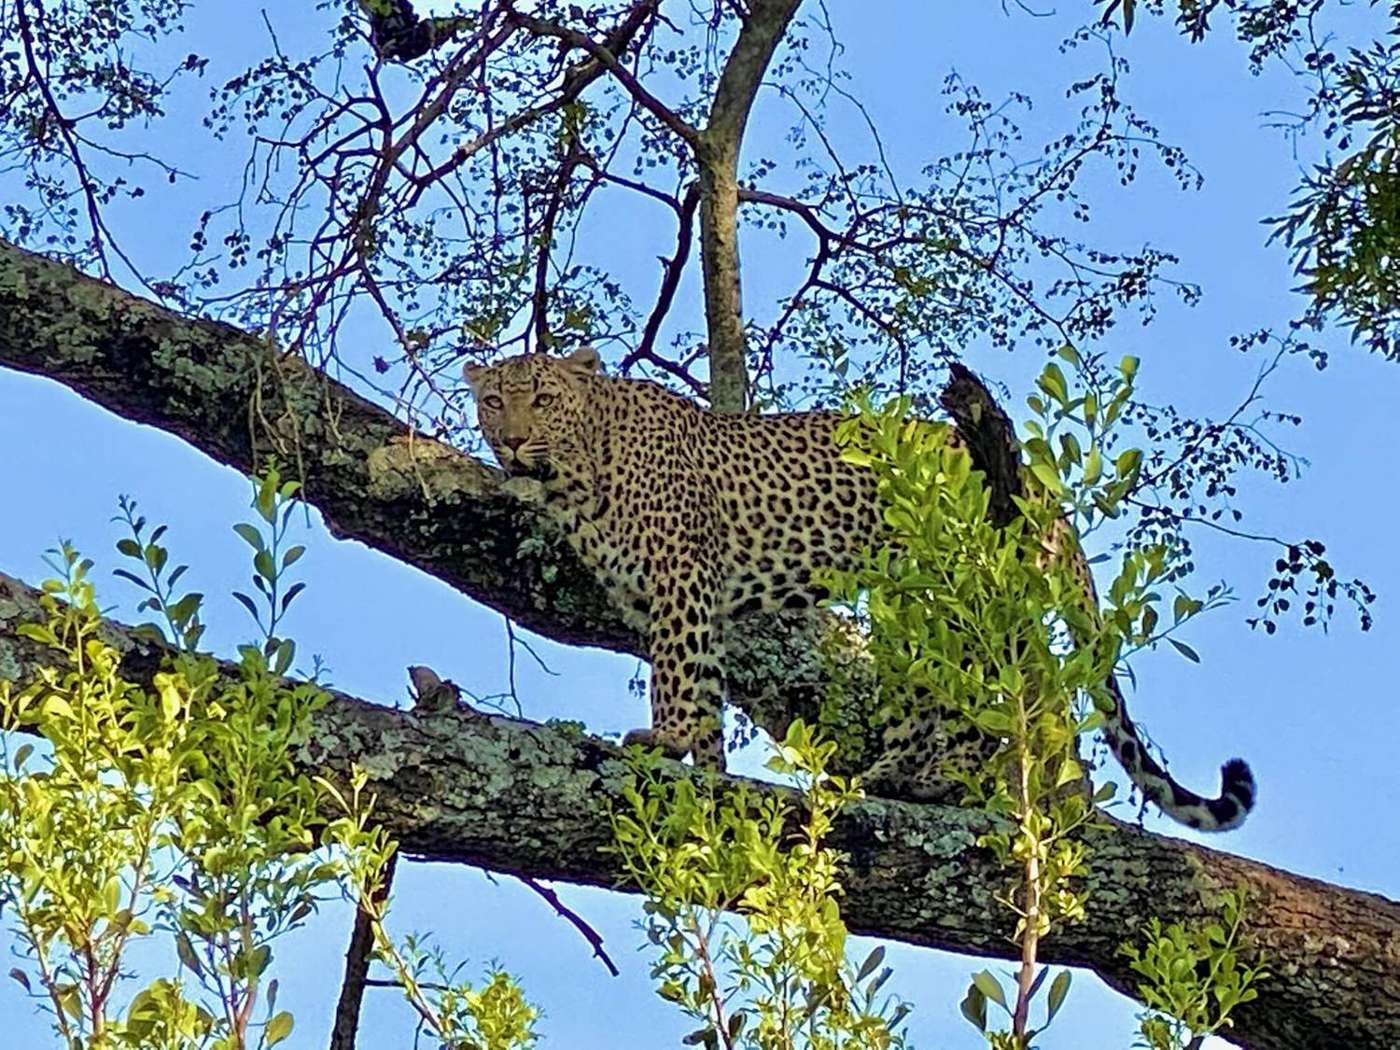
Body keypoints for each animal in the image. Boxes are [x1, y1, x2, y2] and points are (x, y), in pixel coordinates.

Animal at [465, 347, 1256, 831]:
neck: (577, 474)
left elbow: (677, 677)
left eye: (541, 398)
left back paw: (932, 778)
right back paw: (885, 776)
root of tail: (1037, 484)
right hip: (909, 603)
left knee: (994, 697)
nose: (512, 441)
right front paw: (709, 767)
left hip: (958, 585)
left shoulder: (681, 579)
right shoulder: (681, 601)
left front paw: (665, 741)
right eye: (495, 403)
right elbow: (706, 686)